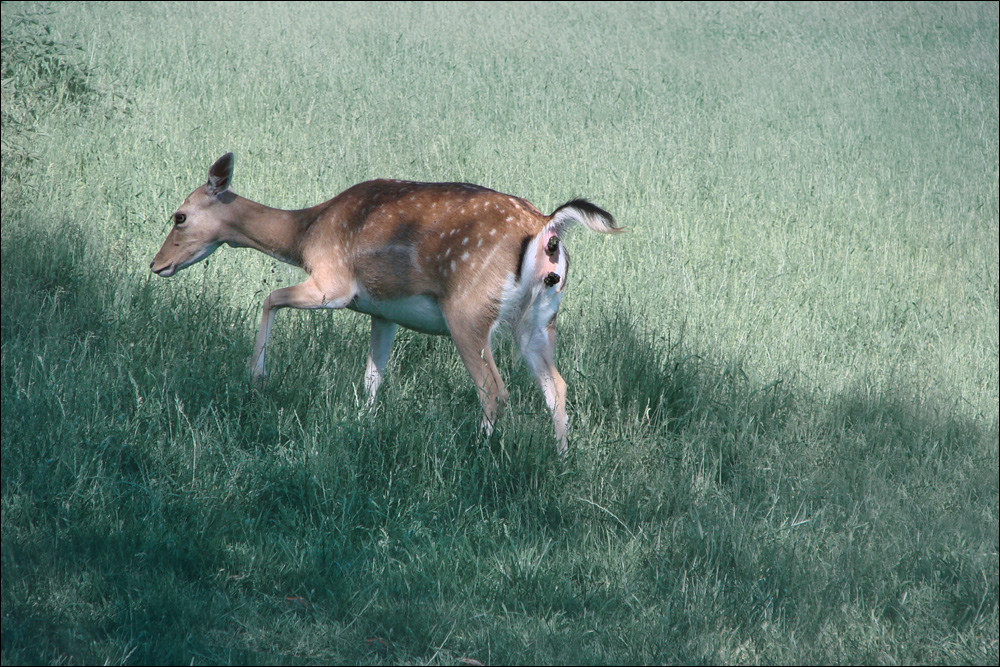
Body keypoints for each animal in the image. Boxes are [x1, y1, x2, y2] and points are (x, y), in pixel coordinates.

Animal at [149, 152, 620, 454]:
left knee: (494, 390)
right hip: (539, 319)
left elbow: (270, 298)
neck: (305, 234)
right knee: (555, 387)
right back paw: (561, 458)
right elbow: (373, 376)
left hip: (468, 311)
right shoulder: (382, 310)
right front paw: (363, 423)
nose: (156, 264)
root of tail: (547, 228)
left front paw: (259, 376)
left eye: (180, 216)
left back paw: (477, 454)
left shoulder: (334, 284)